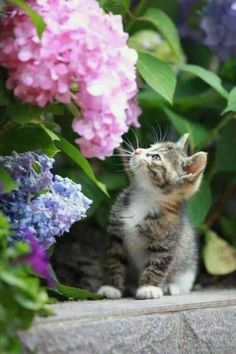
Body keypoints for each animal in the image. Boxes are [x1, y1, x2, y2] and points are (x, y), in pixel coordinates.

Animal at [97, 134, 206, 300]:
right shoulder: (115, 235)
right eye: (151, 146)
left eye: (156, 157)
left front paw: (149, 288)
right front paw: (111, 287)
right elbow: (114, 260)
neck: (145, 197)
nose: (136, 150)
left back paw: (170, 287)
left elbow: (157, 266)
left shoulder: (166, 242)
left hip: (187, 264)